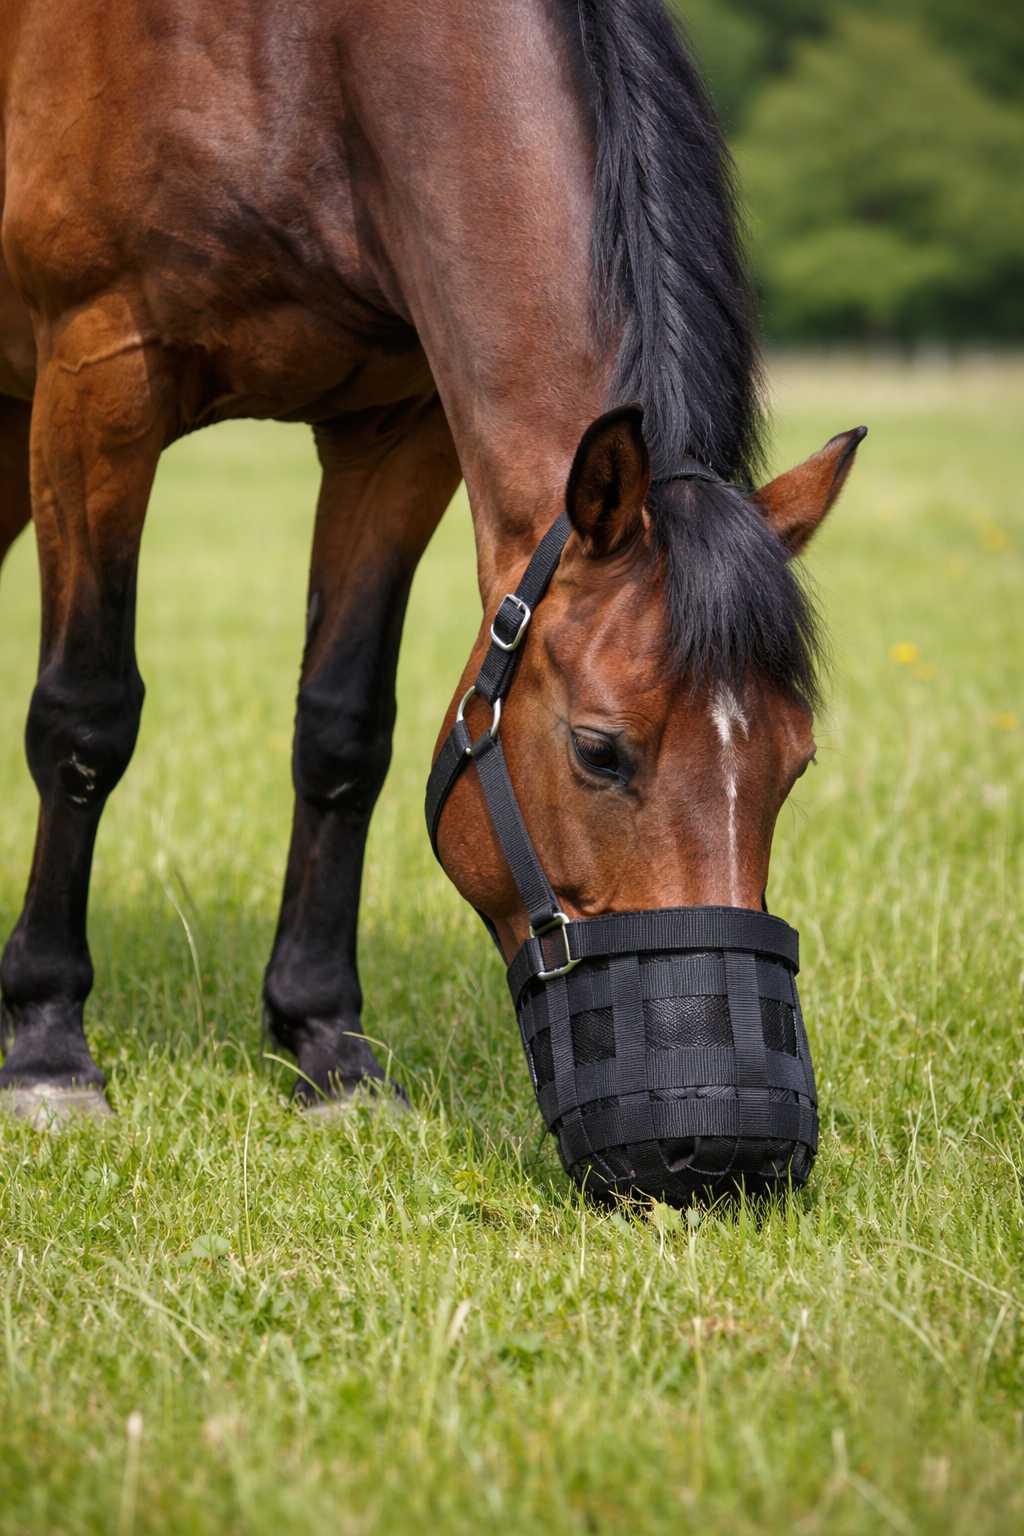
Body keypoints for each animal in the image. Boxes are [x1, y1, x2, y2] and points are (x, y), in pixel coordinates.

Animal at [0, 0, 864, 1202]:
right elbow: (84, 718)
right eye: (599, 750)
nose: (723, 1150)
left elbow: (342, 734)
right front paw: (47, 1047)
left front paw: (329, 1048)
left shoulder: (395, 425)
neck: (303, 62)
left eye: (798, 759)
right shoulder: (101, 371)